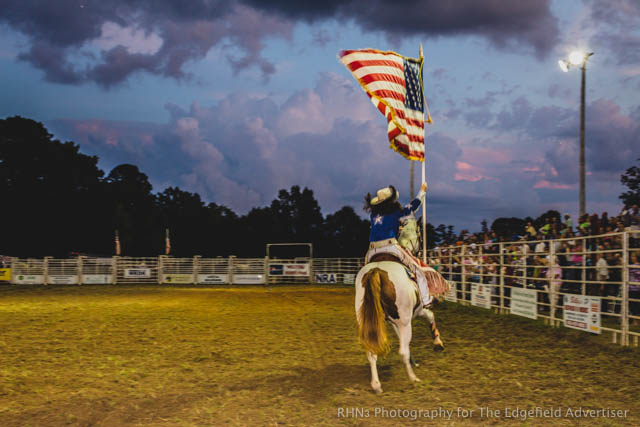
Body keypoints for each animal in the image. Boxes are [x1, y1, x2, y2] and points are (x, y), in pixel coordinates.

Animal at [356, 258, 444, 394]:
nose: (436, 299)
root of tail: (376, 270)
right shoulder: (418, 312)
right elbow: (430, 316)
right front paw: (438, 343)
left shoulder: (395, 323)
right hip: (405, 323)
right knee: (402, 351)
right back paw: (413, 378)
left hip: (367, 323)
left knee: (372, 353)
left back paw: (376, 385)